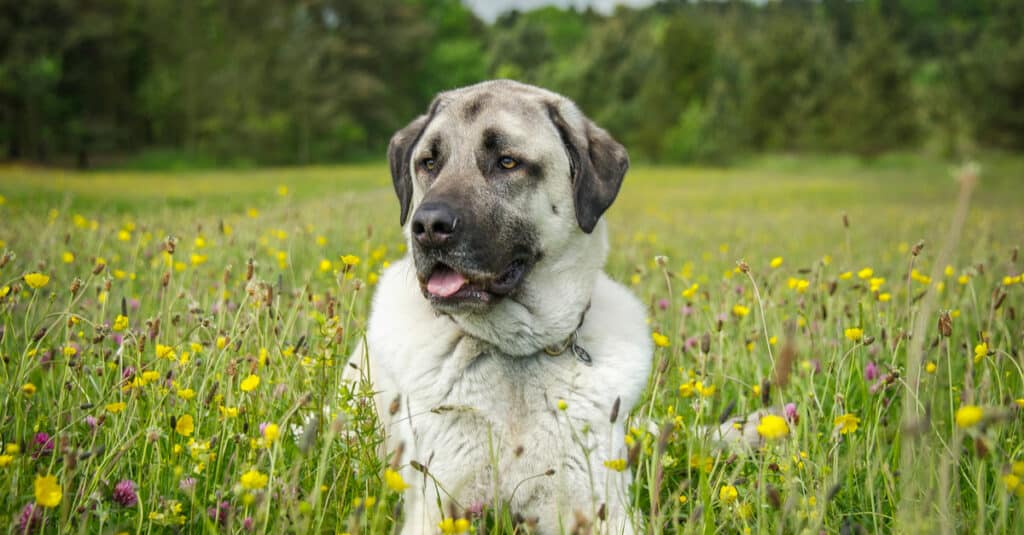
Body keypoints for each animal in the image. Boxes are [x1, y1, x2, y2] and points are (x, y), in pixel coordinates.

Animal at [348, 79, 651, 532]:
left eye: (507, 162)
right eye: (428, 163)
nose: (428, 227)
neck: (516, 354)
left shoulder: (601, 507)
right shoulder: (437, 505)